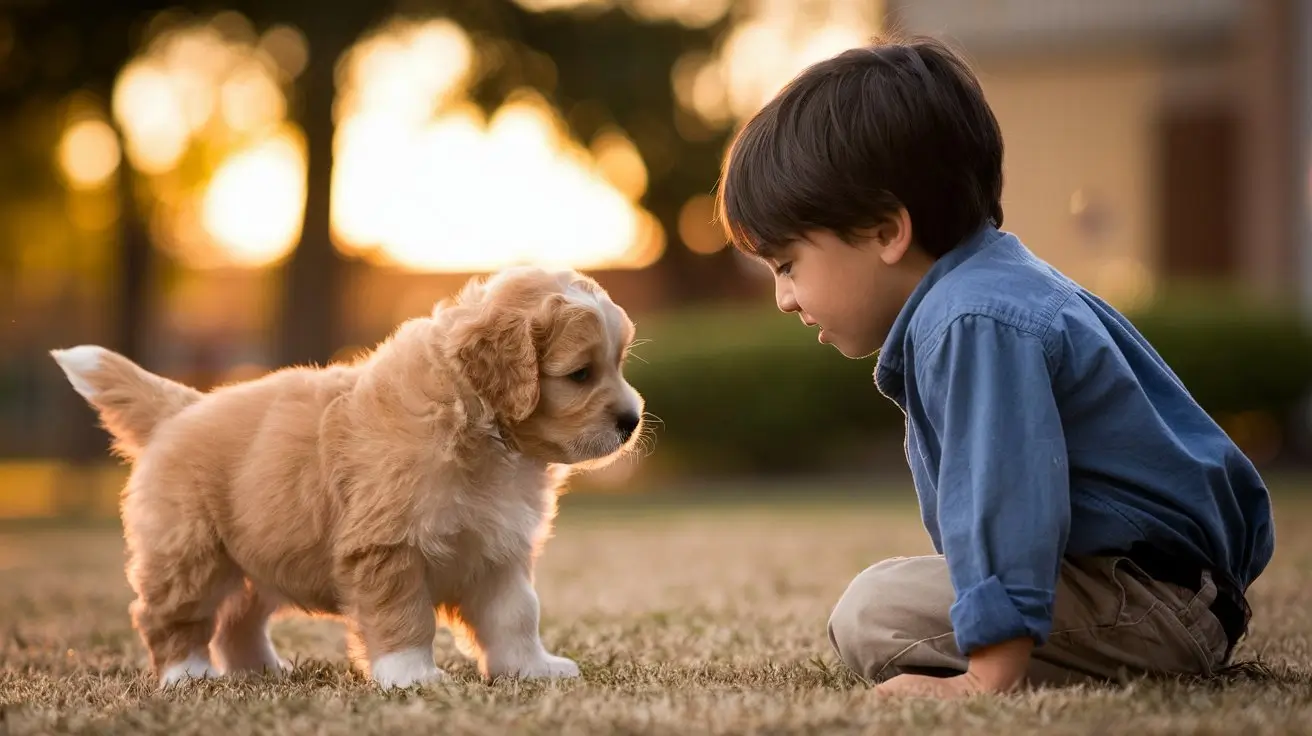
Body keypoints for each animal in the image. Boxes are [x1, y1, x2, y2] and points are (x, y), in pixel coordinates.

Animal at [51, 265, 645, 687]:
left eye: (616, 364)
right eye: (580, 374)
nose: (632, 421)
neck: (476, 420)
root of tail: (179, 407)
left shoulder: (497, 551)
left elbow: (518, 615)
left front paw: (533, 668)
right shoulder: (388, 547)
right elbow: (405, 616)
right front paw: (410, 676)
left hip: (257, 557)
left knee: (238, 621)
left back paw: (260, 670)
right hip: (190, 553)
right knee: (168, 615)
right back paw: (187, 675)